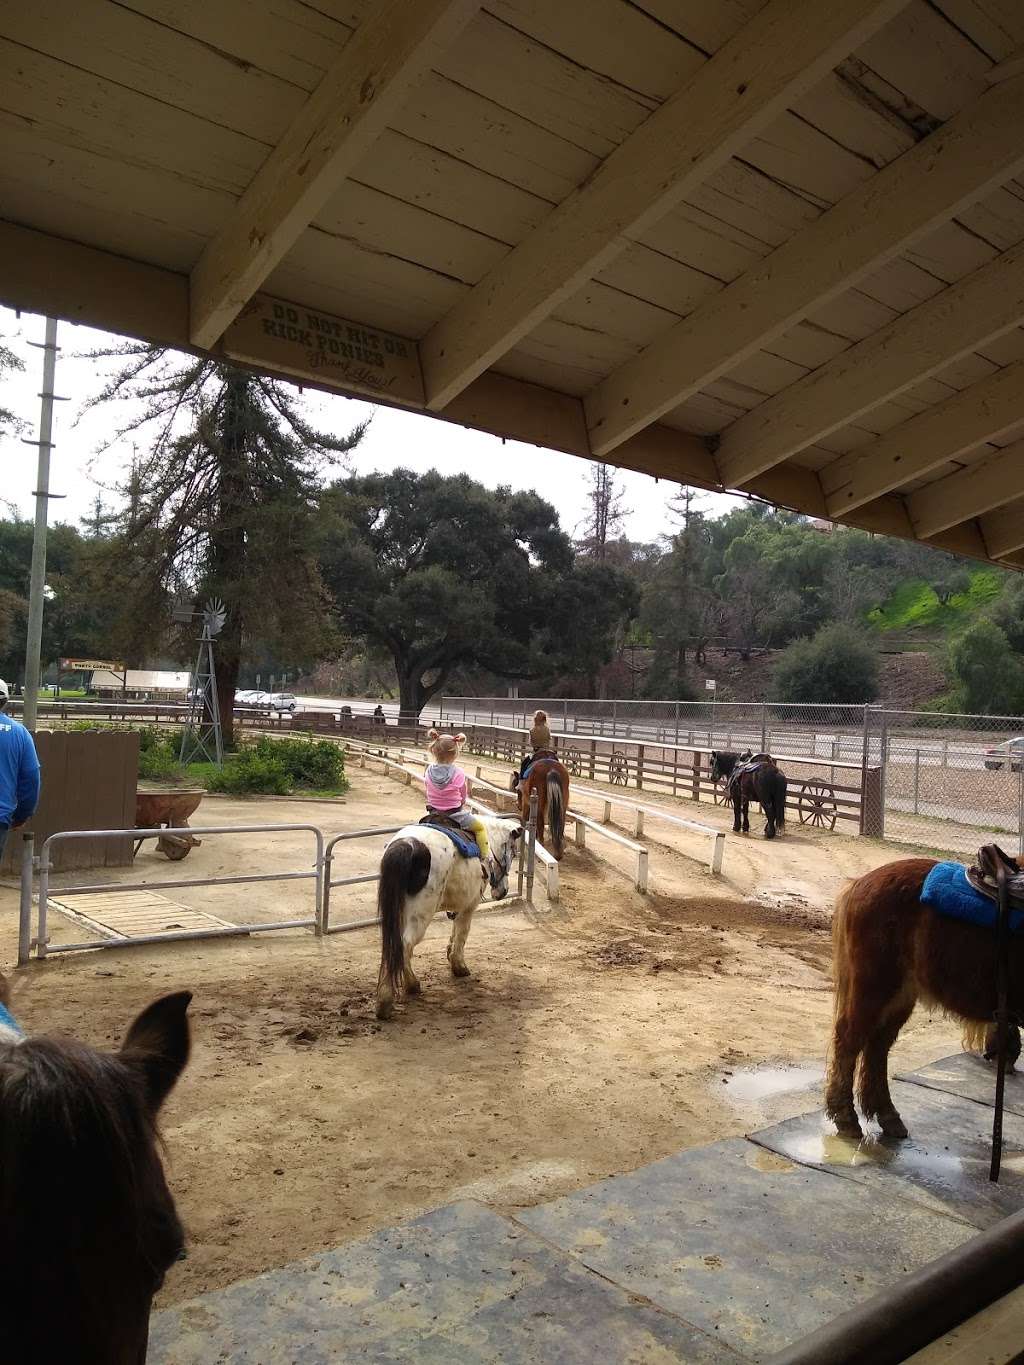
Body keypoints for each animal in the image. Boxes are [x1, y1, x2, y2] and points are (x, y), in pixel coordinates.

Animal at [824, 862, 1024, 1141]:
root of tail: (859, 883)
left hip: (902, 994)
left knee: (877, 1046)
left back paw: (887, 1115)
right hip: (874, 987)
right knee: (850, 1040)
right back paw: (847, 1118)